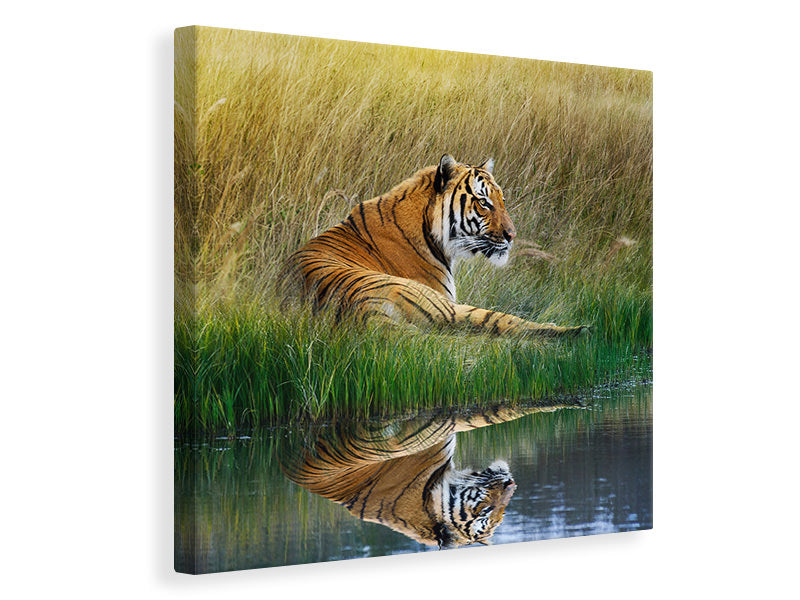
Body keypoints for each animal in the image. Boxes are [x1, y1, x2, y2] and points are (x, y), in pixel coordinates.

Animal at [286, 154, 588, 336]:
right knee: (504, 321)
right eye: (484, 202)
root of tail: (363, 313)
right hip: (442, 305)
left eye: (501, 200)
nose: (512, 235)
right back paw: (577, 330)